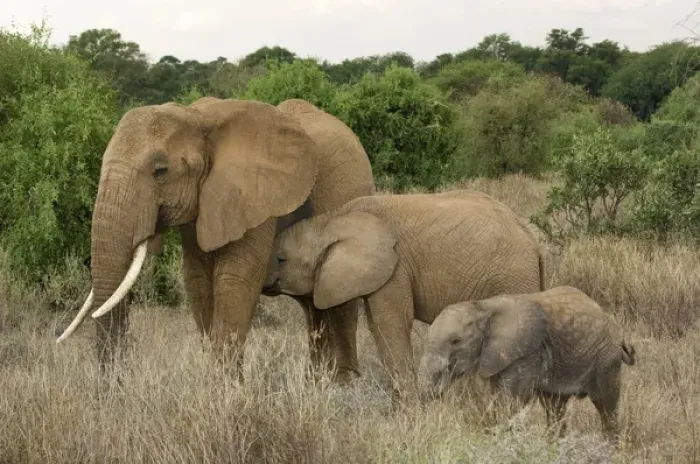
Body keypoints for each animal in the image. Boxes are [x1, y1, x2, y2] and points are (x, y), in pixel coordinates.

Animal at [56, 97, 375, 381]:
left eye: (160, 171)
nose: (116, 386)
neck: (197, 117)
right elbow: (198, 283)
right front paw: (215, 383)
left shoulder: (254, 199)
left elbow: (233, 282)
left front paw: (229, 389)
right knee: (313, 306)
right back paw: (317, 382)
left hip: (350, 192)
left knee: (339, 301)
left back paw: (343, 384)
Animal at [262, 189, 545, 398]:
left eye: (281, 259)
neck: (332, 219)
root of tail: (533, 241)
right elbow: (378, 325)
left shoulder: (395, 267)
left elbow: (391, 323)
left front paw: (409, 410)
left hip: (513, 278)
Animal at [420, 285, 636, 441]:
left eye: (455, 341)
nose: (437, 393)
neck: (482, 307)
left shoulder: (525, 354)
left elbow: (511, 402)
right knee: (554, 406)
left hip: (606, 358)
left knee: (606, 406)